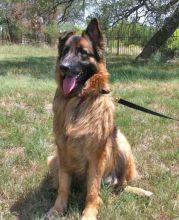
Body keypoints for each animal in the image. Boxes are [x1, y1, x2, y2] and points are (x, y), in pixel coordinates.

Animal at [46, 18, 136, 219]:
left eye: (83, 53)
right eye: (65, 51)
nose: (63, 67)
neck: (79, 99)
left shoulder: (96, 155)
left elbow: (93, 190)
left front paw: (89, 212)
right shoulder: (62, 151)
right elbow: (64, 186)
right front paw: (57, 209)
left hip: (121, 143)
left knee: (122, 184)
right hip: (53, 159)